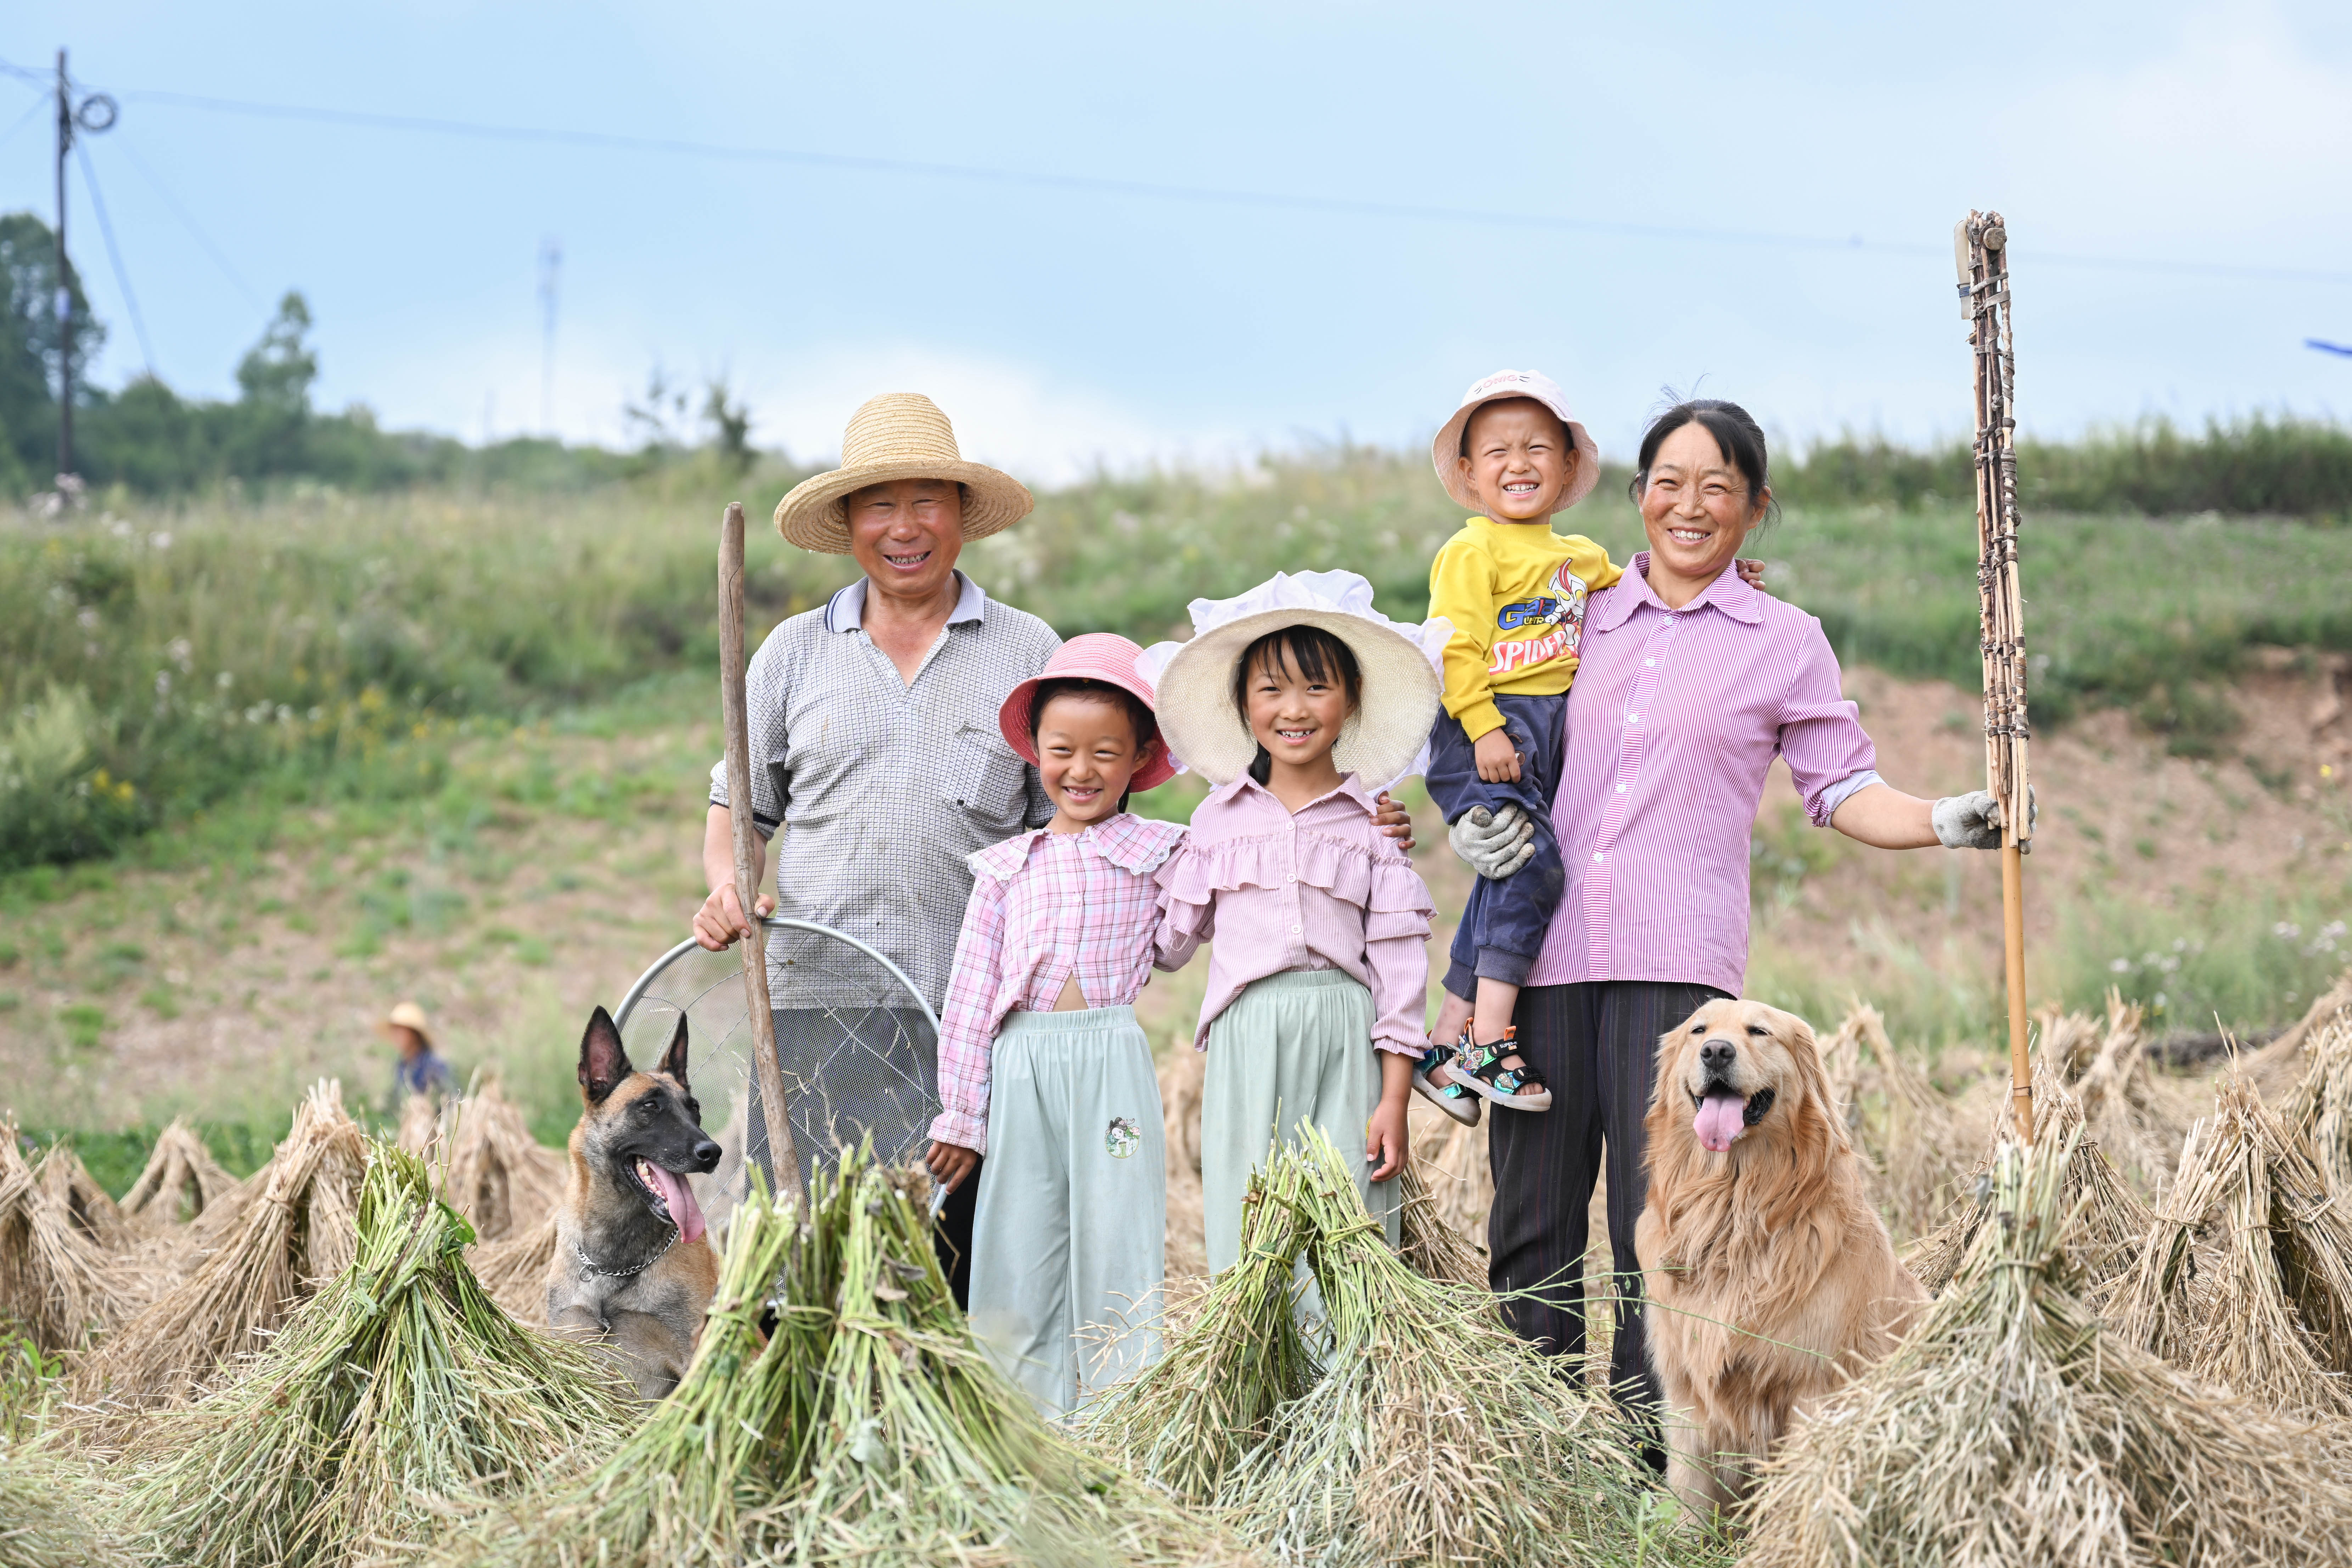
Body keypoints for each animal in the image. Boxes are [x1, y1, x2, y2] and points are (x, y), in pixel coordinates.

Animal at [1646, 1001, 1919, 1523]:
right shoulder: (1686, 1388)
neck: (1734, 1210)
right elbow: (1689, 1491)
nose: (1716, 1051)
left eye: (1759, 1031)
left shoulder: (1813, 1387)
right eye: (1699, 1030)